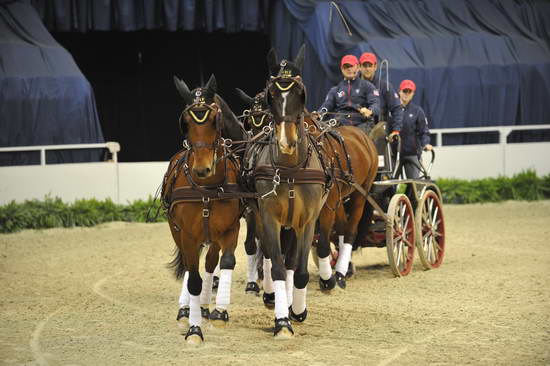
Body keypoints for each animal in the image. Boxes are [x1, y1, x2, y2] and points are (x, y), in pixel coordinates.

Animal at [164, 75, 248, 346]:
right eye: (185, 122)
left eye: (215, 120)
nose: (202, 169)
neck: (207, 189)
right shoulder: (188, 236)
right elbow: (193, 279)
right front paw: (193, 329)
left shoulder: (231, 229)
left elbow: (226, 262)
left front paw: (220, 312)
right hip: (179, 233)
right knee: (191, 268)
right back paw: (187, 309)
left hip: (213, 236)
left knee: (211, 262)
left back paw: (203, 306)